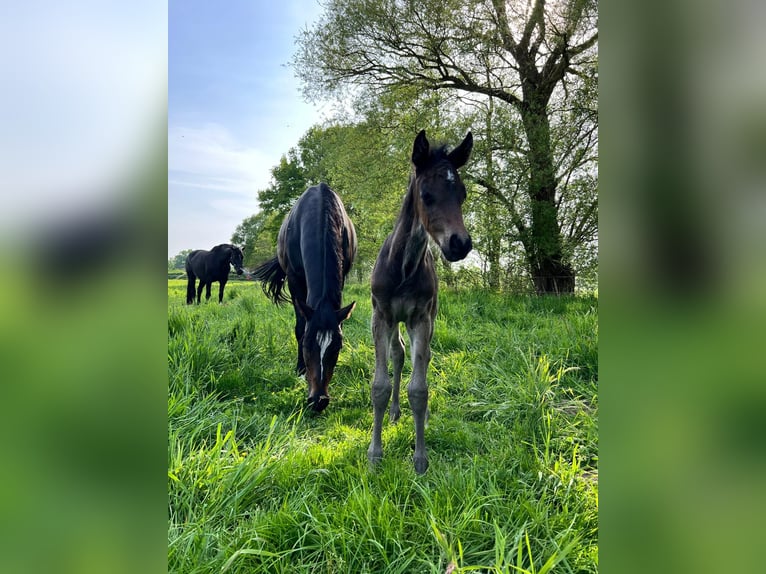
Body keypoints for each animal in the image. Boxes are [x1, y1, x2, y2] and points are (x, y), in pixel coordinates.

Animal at [251, 183, 357, 412]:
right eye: (307, 345)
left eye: (337, 347)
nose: (319, 400)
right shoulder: (294, 278)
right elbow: (300, 326)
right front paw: (300, 369)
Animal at [367, 129, 473, 474]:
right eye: (426, 195)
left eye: (462, 194)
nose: (460, 244)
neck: (403, 266)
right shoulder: (381, 316)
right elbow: (380, 386)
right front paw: (375, 454)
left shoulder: (421, 318)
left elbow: (419, 388)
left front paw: (420, 458)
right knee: (398, 354)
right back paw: (394, 412)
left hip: (428, 319)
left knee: (421, 357)